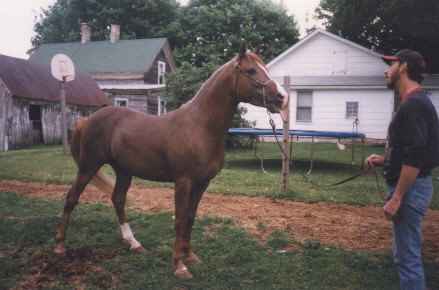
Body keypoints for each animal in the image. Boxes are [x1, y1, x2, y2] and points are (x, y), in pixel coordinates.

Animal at [54, 40, 288, 278]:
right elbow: (179, 220)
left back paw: (134, 244)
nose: (282, 97)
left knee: (118, 200)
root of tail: (89, 119)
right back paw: (60, 247)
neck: (199, 127)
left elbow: (191, 218)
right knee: (71, 199)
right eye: (251, 71)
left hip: (123, 171)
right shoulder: (183, 182)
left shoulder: (202, 183)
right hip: (88, 166)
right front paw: (179, 265)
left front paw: (190, 255)